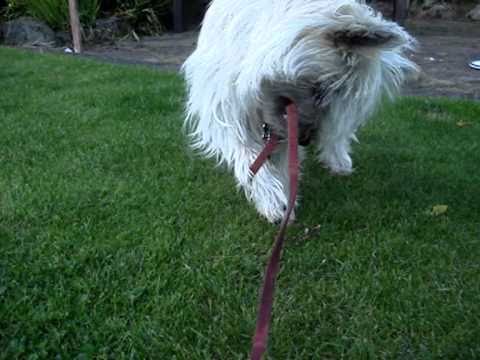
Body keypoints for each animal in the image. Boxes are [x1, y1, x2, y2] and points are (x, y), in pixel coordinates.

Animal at [183, 0, 416, 224]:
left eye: (333, 97)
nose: (305, 140)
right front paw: (273, 200)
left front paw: (284, 197)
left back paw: (338, 159)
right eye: (320, 90)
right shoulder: (226, 111)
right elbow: (249, 157)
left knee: (337, 136)